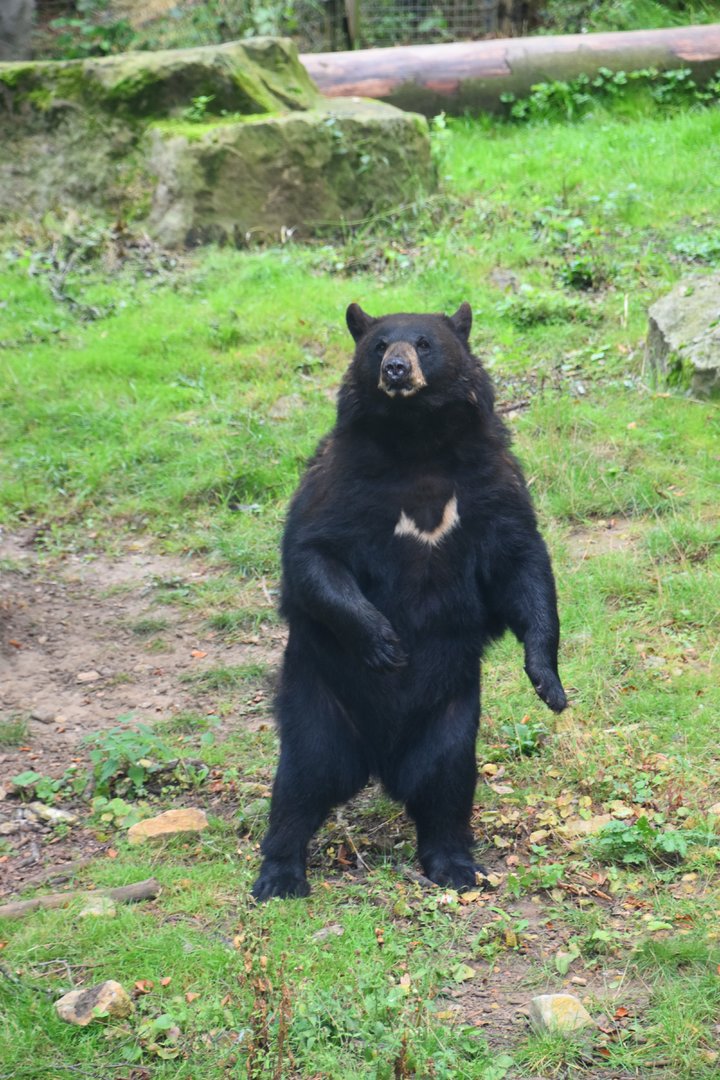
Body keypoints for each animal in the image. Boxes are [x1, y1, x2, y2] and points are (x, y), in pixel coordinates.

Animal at [251, 302, 567, 901]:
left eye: (423, 343)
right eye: (378, 345)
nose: (396, 369)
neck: (417, 439)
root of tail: (380, 760)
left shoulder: (490, 481)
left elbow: (522, 563)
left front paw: (549, 684)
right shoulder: (343, 477)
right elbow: (313, 552)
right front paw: (384, 644)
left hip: (450, 718)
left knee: (445, 788)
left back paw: (456, 865)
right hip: (320, 702)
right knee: (301, 784)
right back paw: (279, 876)